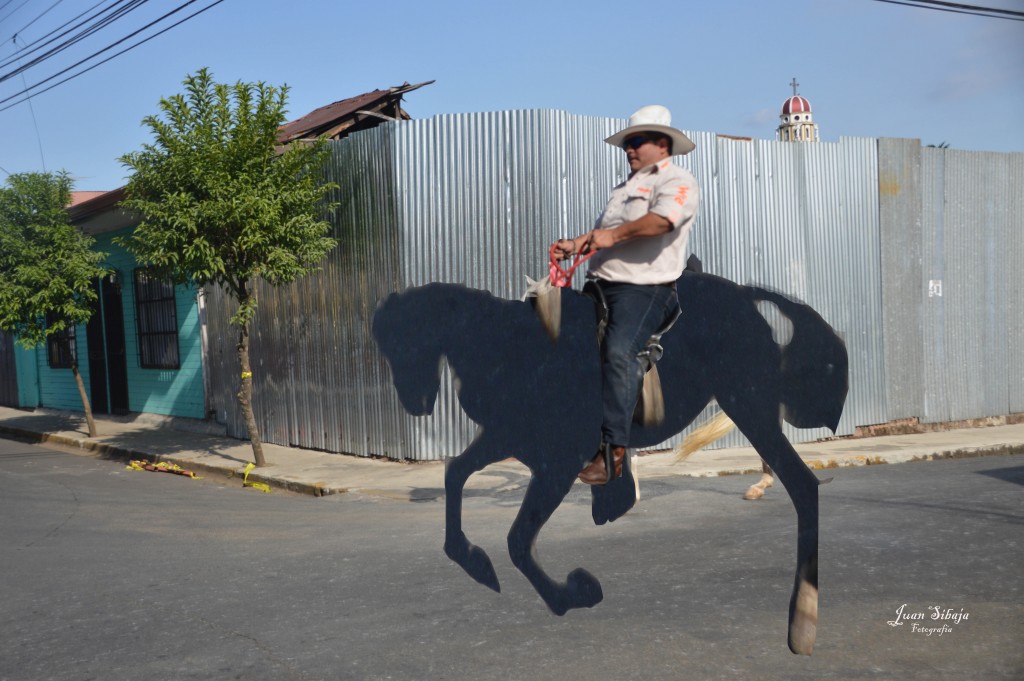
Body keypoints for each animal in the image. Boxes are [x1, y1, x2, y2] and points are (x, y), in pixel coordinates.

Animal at [370, 270, 847, 655]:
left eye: (413, 336)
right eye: (385, 346)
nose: (414, 404)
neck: (512, 351)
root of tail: (747, 296)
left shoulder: (558, 463)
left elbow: (518, 540)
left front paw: (570, 594)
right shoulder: (507, 439)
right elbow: (455, 474)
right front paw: (475, 562)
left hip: (749, 404)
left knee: (803, 486)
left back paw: (803, 619)